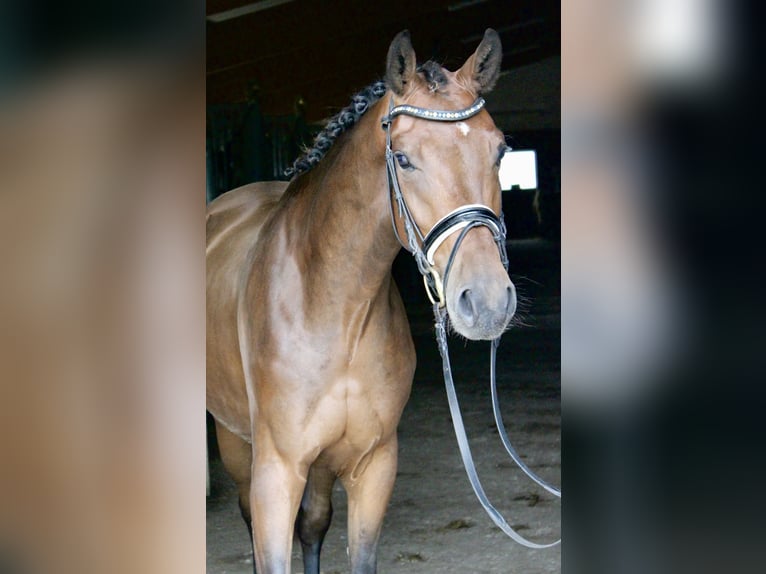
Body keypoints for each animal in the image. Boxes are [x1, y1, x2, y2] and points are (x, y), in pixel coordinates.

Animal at [206, 29, 516, 574]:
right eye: (403, 159)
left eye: (499, 150)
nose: (487, 302)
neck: (332, 307)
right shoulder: (276, 472)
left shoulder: (373, 466)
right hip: (236, 445)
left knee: (312, 526)